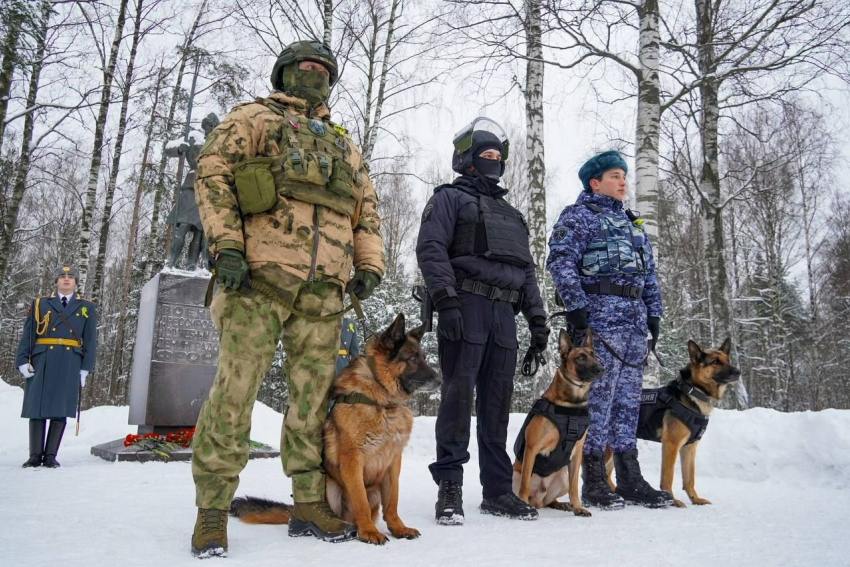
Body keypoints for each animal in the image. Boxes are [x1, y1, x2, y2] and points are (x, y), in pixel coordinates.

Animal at [229, 316, 440, 544]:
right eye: (413, 358)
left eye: (424, 357)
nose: (440, 381)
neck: (381, 400)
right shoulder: (352, 460)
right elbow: (360, 501)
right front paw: (368, 532)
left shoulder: (393, 462)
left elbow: (392, 501)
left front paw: (398, 528)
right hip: (329, 486)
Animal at [510, 328, 604, 520]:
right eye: (580, 357)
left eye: (594, 354)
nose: (601, 369)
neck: (570, 406)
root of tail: (537, 501)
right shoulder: (532, 448)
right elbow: (524, 484)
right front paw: (522, 505)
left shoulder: (577, 453)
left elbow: (575, 486)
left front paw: (578, 507)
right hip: (513, 475)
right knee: (525, 491)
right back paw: (526, 504)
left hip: (562, 476)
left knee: (549, 501)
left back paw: (563, 504)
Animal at [600, 340, 740, 508]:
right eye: (715, 362)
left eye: (728, 360)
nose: (738, 372)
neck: (692, 391)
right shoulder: (671, 445)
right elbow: (668, 477)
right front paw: (672, 500)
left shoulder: (689, 448)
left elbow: (689, 478)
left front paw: (695, 499)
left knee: (608, 474)